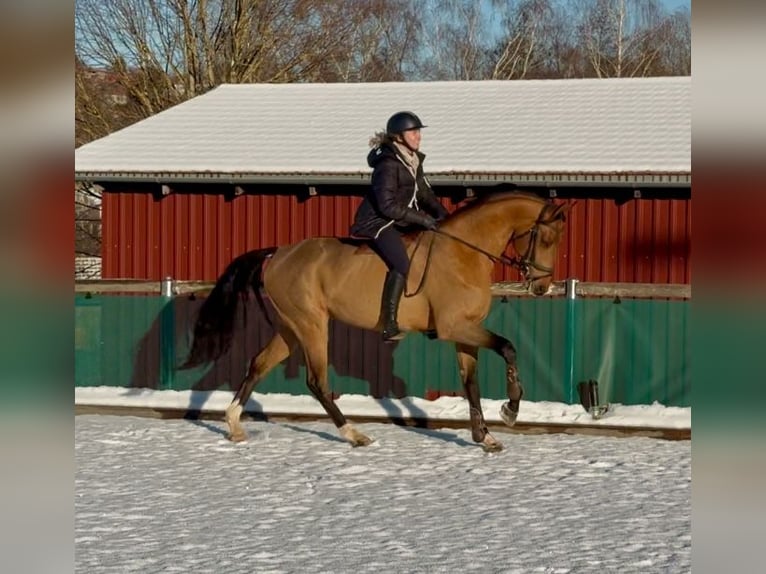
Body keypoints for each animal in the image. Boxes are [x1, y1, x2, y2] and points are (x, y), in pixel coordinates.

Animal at [184, 194, 568, 454]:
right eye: (547, 239)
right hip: (312, 325)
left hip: (290, 329)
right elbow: (508, 347)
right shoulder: (455, 328)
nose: (541, 287)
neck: (465, 252)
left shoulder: (465, 332)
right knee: (316, 381)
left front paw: (484, 436)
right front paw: (510, 410)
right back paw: (354, 435)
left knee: (257, 364)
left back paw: (234, 425)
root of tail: (279, 253)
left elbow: (470, 383)